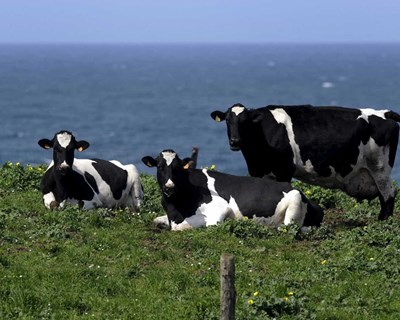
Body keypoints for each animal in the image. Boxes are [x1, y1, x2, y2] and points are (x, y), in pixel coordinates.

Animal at [142, 149, 324, 231]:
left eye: (177, 168)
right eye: (159, 166)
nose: (169, 187)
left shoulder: (220, 209)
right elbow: (157, 220)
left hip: (294, 200)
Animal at [211, 104, 400, 219]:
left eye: (245, 121)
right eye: (227, 120)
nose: (235, 141)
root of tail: (384, 113)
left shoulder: (284, 170)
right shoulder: (257, 171)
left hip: (379, 168)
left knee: (388, 194)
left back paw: (383, 222)